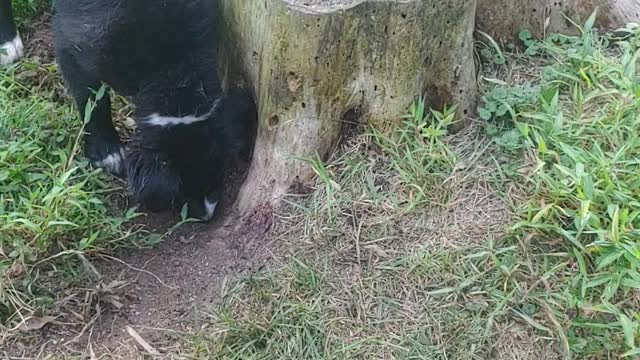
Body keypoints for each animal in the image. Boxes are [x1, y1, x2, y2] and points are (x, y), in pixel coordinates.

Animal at [3, 0, 258, 221]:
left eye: (218, 174)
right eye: (182, 188)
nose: (205, 216)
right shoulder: (79, 39)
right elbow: (90, 96)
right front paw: (108, 154)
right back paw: (7, 44)